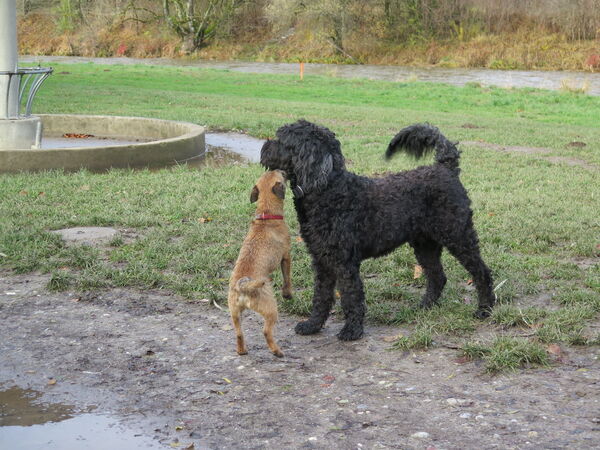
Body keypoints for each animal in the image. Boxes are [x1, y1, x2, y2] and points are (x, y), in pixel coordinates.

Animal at [228, 170, 292, 357]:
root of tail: (243, 287)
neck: (266, 215)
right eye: (281, 174)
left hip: (235, 314)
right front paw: (288, 293)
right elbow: (287, 278)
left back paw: (242, 350)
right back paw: (277, 351)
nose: (284, 170)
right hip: (270, 308)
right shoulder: (286, 257)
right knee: (266, 331)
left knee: (239, 334)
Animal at [260, 120, 495, 341]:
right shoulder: (322, 260)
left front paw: (352, 330)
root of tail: (446, 167)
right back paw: (425, 306)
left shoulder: (344, 262)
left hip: (459, 236)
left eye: (282, 140)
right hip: (425, 244)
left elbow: (351, 296)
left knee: (482, 272)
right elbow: (321, 296)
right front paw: (313, 325)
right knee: (437, 276)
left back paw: (485, 309)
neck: (329, 189)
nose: (264, 147)